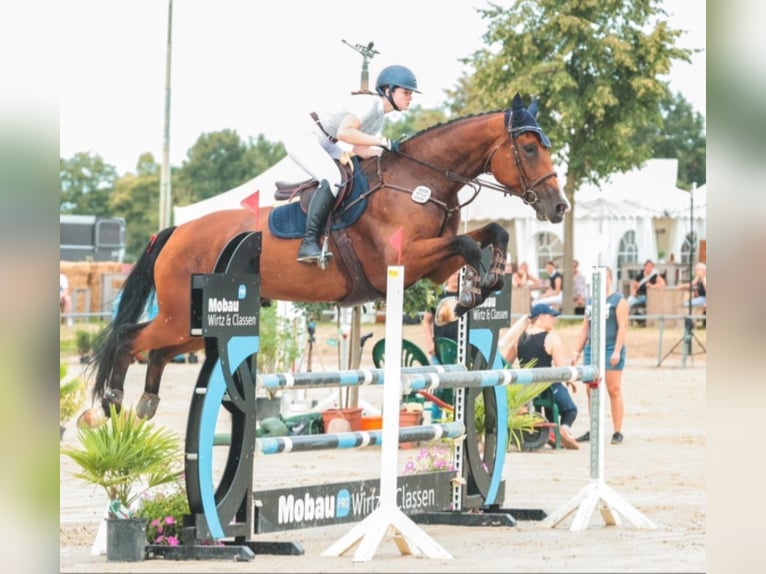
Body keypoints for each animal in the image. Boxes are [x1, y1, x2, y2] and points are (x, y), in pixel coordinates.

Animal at [78, 93, 568, 428]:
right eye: (529, 149)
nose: (559, 207)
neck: (421, 181)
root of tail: (174, 232)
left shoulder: (433, 265)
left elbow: (490, 235)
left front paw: (473, 292)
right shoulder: (404, 260)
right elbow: (467, 246)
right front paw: (464, 298)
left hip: (191, 327)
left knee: (157, 351)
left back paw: (144, 405)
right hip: (180, 314)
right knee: (129, 339)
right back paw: (111, 406)